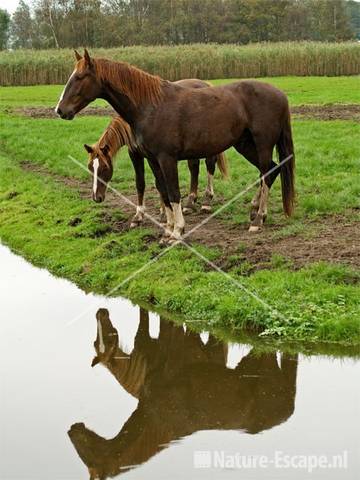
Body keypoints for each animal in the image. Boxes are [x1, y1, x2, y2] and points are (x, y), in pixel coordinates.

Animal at [84, 79, 228, 229]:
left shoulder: (153, 155)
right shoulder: (135, 153)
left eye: (105, 168)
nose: (96, 197)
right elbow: (142, 182)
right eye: (90, 168)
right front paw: (141, 216)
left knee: (210, 165)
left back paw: (206, 201)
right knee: (194, 167)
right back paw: (190, 203)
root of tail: (206, 84)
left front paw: (163, 214)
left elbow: (158, 183)